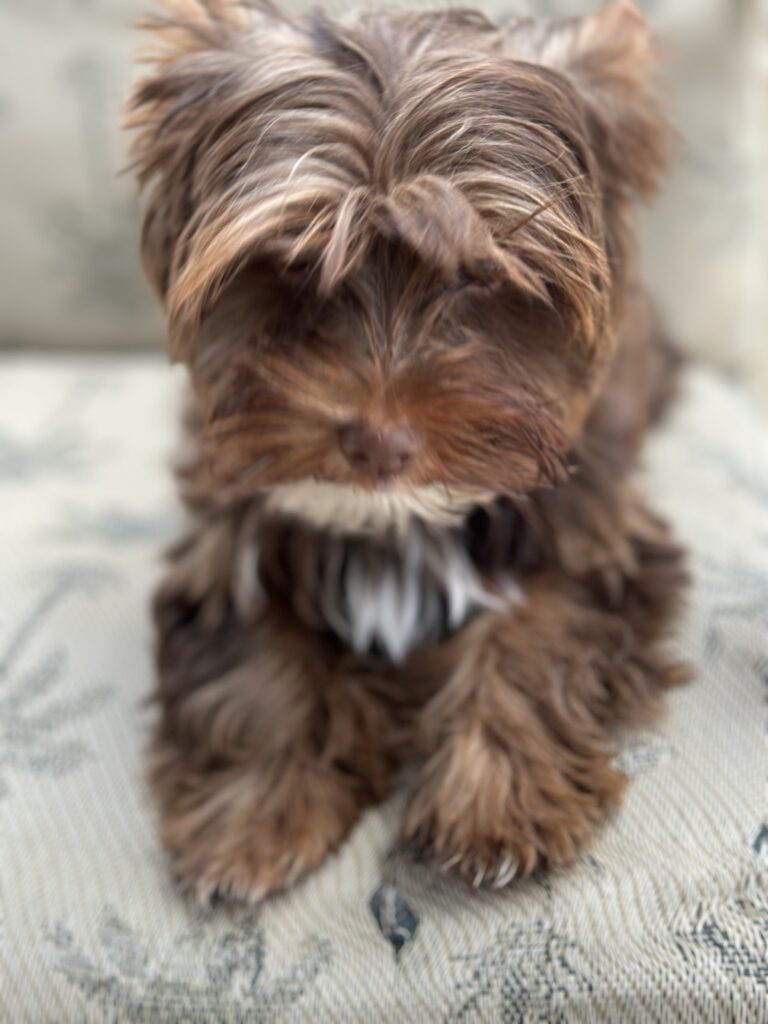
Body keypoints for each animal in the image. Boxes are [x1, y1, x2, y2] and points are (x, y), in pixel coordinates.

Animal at [127, 0, 688, 902]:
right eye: (294, 266)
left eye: (482, 279)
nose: (379, 440)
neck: (392, 521)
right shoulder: (227, 532)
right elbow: (254, 660)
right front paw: (256, 812)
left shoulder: (595, 531)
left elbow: (541, 632)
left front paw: (497, 796)